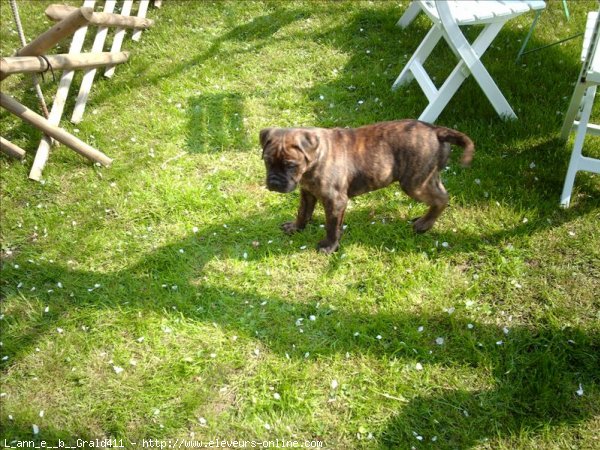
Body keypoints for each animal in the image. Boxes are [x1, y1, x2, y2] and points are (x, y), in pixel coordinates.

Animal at [260, 119, 476, 253]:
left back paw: (423, 225)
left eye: (291, 165)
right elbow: (303, 212)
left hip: (415, 183)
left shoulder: (335, 201)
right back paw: (423, 219)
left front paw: (329, 246)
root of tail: (436, 130)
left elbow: (332, 226)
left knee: (442, 199)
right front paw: (295, 228)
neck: (315, 158)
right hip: (428, 178)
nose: (274, 183)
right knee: (440, 194)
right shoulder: (307, 192)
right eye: (267, 162)